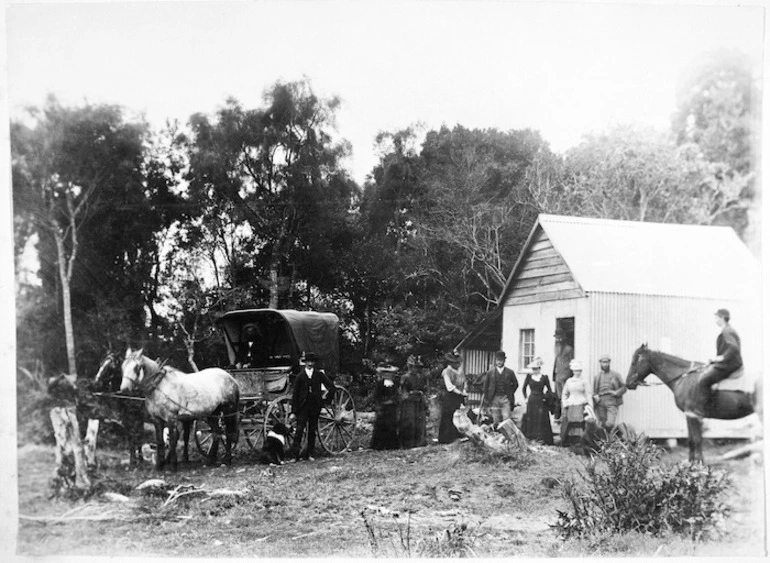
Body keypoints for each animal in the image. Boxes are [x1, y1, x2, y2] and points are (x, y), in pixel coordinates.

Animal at [628, 346, 760, 464]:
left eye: (634, 362)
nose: (628, 383)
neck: (684, 378)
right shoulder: (689, 415)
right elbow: (691, 440)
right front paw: (691, 464)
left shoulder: (693, 415)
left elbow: (697, 440)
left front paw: (700, 465)